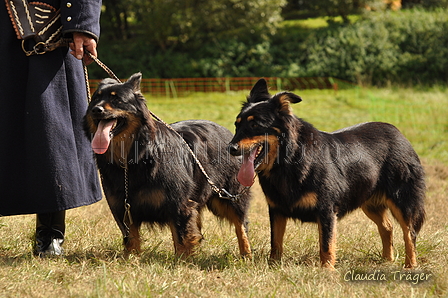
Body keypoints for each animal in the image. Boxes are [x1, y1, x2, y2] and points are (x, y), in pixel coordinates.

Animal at [84, 73, 252, 258]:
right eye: (96, 99)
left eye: (117, 100)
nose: (96, 110)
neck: (133, 156)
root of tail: (227, 132)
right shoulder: (123, 207)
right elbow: (131, 237)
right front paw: (131, 259)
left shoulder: (179, 204)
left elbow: (180, 237)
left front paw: (182, 260)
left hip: (228, 194)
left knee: (240, 223)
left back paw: (246, 253)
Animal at [229, 78, 426, 268]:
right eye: (236, 125)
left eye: (255, 124)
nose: (230, 148)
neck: (289, 161)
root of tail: (399, 134)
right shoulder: (276, 210)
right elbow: (275, 243)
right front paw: (273, 266)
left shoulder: (326, 211)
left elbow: (326, 245)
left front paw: (327, 271)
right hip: (370, 202)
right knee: (387, 227)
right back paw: (387, 260)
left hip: (403, 201)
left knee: (409, 233)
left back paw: (410, 266)